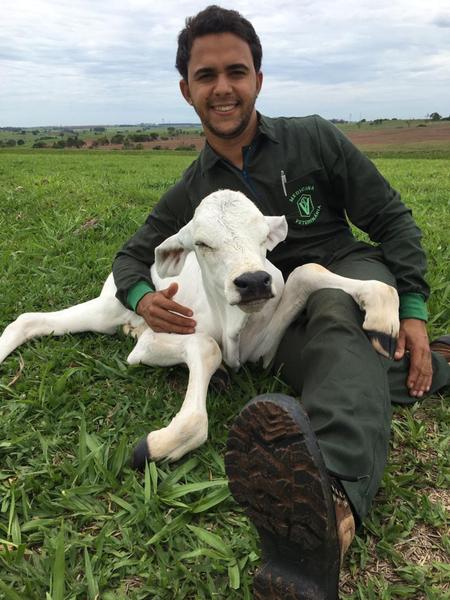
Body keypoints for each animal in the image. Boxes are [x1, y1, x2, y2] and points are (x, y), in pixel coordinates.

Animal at [0, 191, 400, 464]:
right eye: (203, 244)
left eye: (262, 238)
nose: (253, 282)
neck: (228, 322)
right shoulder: (150, 344)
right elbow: (206, 346)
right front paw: (160, 443)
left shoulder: (261, 349)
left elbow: (307, 272)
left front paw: (382, 312)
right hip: (106, 309)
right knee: (29, 319)